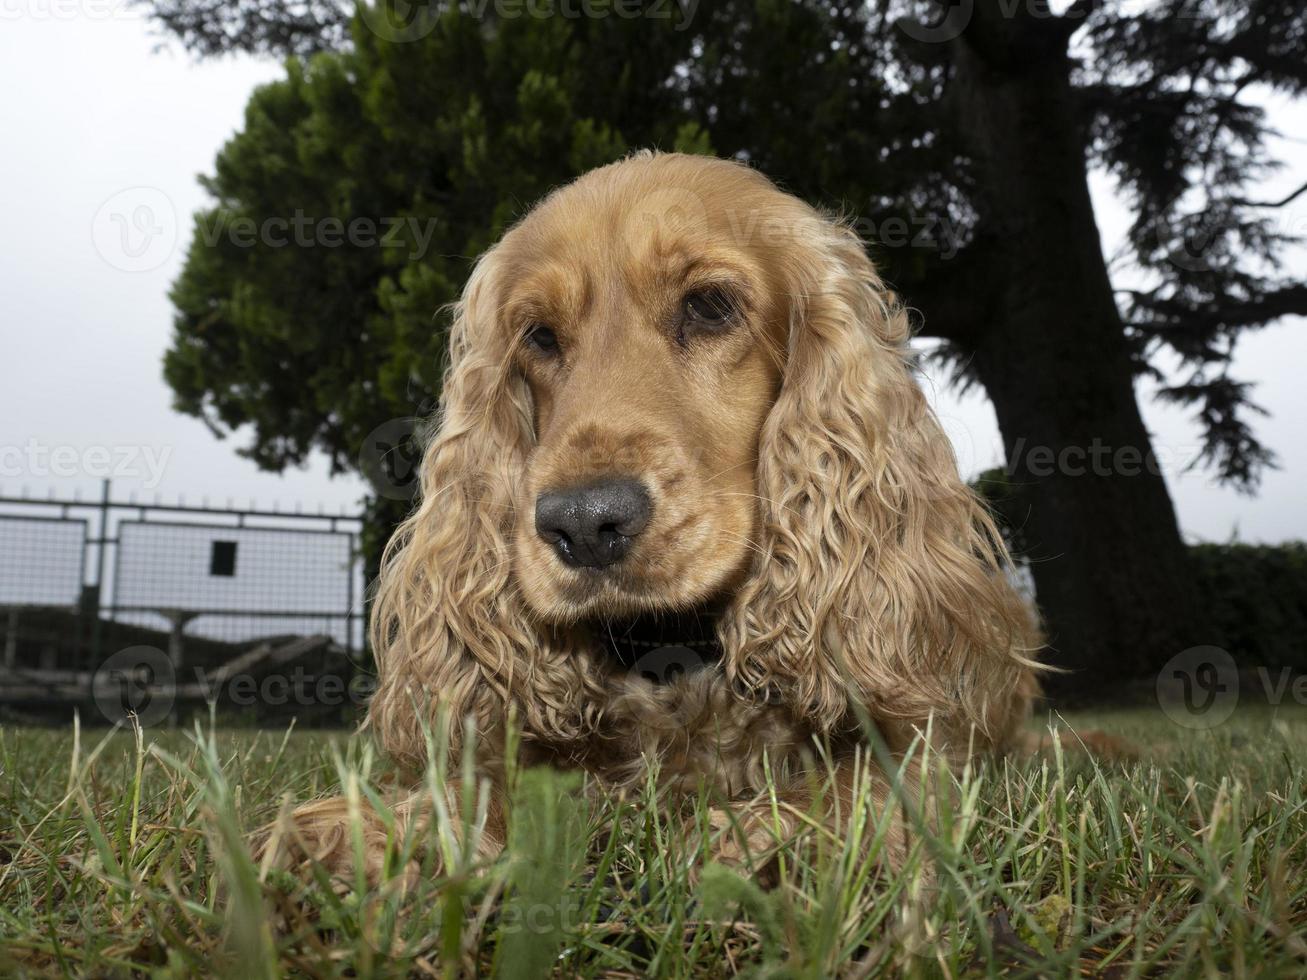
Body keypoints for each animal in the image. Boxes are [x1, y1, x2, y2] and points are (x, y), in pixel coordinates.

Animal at [260, 153, 1045, 888]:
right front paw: (366, 828)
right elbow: (485, 792)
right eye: (538, 336)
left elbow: (867, 790)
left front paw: (769, 836)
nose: (582, 524)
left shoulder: (926, 756)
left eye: (709, 305)